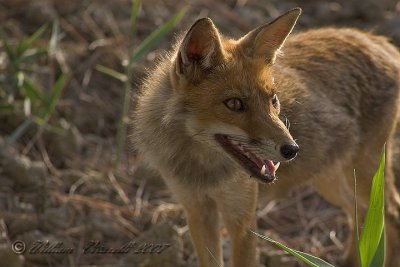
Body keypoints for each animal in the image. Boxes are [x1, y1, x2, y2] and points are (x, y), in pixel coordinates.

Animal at [132, 7, 400, 266]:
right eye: (234, 104)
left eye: (273, 99)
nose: (292, 149)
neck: (202, 170)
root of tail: (374, 38)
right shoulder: (197, 210)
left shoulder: (242, 218)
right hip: (329, 179)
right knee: (361, 215)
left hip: (364, 176)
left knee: (391, 215)